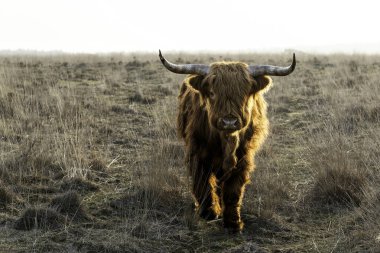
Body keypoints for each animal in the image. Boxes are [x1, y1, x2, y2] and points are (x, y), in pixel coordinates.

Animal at [159, 50, 296, 233]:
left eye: (244, 94)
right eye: (212, 93)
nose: (229, 122)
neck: (226, 141)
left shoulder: (243, 157)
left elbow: (233, 190)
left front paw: (233, 222)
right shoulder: (198, 154)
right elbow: (202, 183)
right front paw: (209, 212)